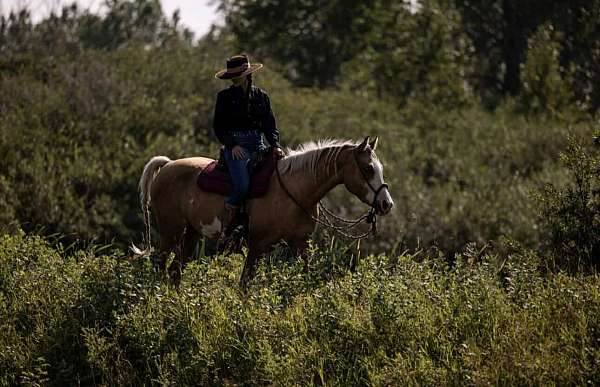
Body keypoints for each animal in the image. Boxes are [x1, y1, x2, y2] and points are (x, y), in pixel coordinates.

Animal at [138, 136, 396, 288]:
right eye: (368, 168)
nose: (386, 204)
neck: (293, 190)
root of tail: (167, 165)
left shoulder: (299, 243)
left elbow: (305, 276)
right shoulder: (257, 245)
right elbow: (245, 285)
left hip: (191, 233)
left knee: (175, 270)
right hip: (170, 230)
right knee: (159, 264)